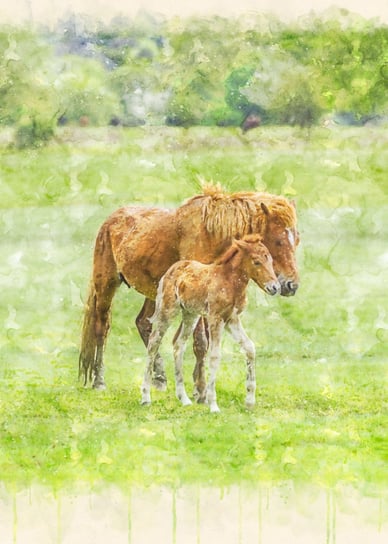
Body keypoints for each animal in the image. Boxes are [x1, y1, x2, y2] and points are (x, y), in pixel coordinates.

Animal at [141, 234, 280, 412]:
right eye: (256, 262)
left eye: (270, 259)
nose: (275, 287)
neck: (230, 282)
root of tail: (172, 269)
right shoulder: (216, 318)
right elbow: (214, 356)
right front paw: (213, 405)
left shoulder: (232, 319)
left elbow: (250, 348)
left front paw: (249, 401)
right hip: (168, 310)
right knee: (154, 342)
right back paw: (146, 397)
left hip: (190, 314)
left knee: (178, 344)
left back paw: (184, 399)